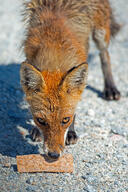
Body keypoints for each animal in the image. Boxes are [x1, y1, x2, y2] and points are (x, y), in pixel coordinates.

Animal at [20, 0, 120, 159]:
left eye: (65, 120)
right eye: (40, 120)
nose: (53, 155)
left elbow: (75, 106)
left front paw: (71, 132)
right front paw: (36, 130)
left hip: (100, 31)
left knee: (104, 54)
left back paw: (110, 88)